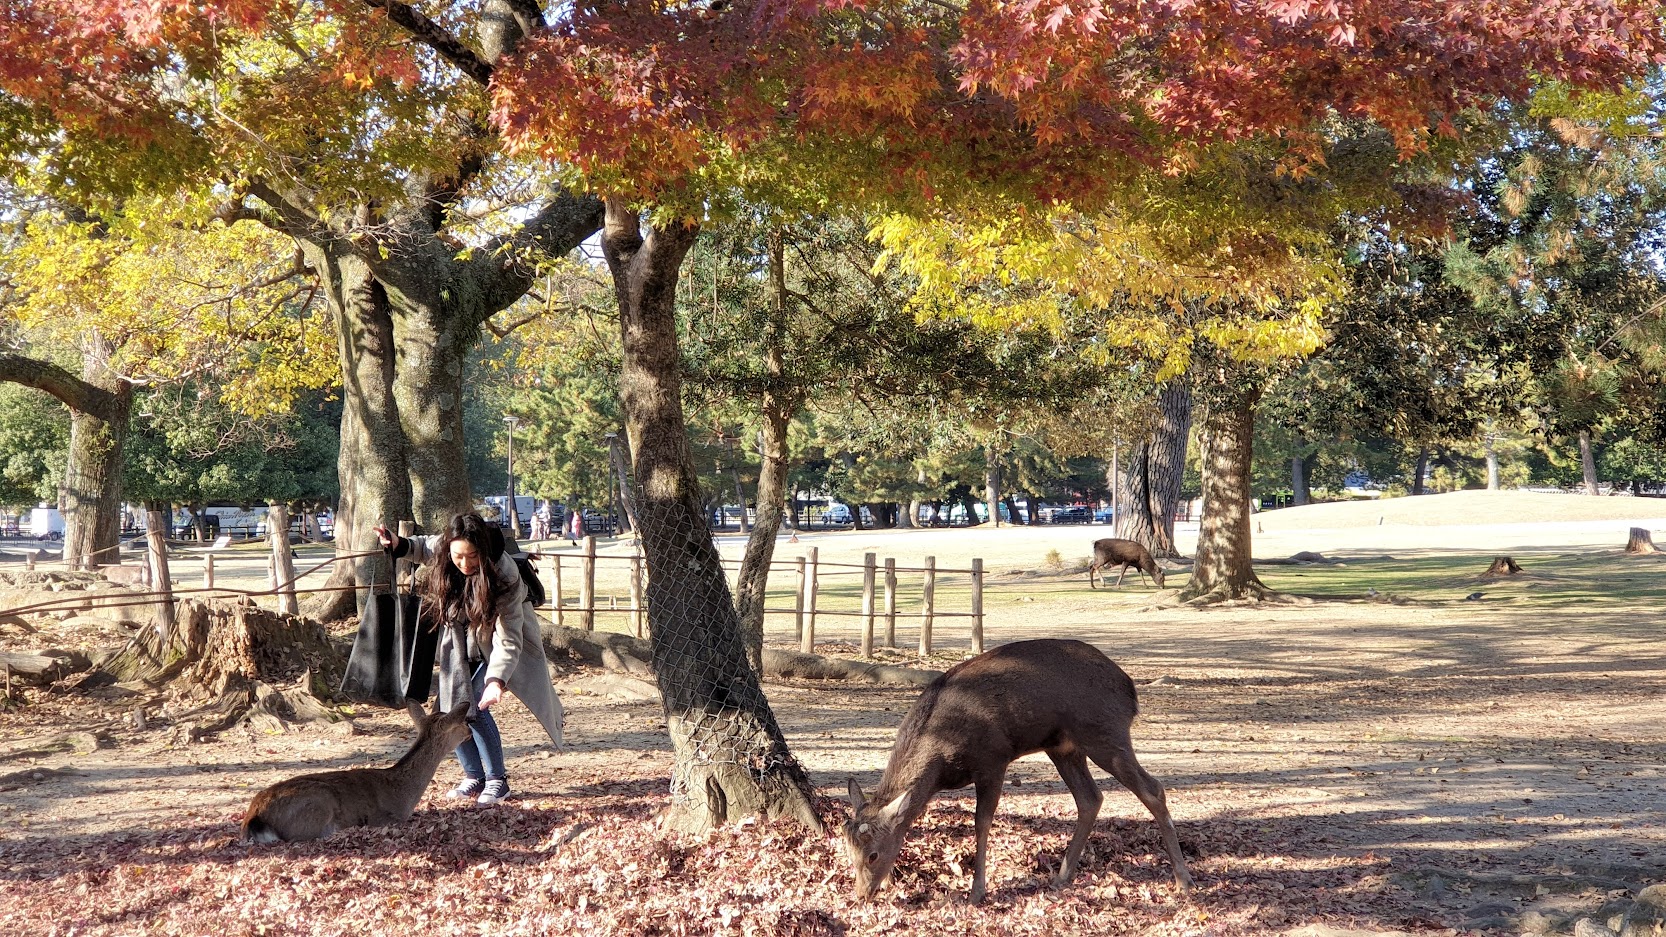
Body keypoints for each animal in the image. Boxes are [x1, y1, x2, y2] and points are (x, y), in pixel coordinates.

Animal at [238, 696, 469, 843]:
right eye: (461, 724)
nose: (469, 730)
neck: (403, 794)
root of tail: (254, 817)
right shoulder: (384, 819)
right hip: (318, 804)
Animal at [846, 633, 1186, 900]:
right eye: (850, 852)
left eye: (873, 854)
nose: (862, 895)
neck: (942, 763)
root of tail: (1130, 689)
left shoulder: (992, 760)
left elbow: (982, 822)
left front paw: (977, 892)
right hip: (1063, 747)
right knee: (1090, 798)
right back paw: (1061, 877)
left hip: (1105, 733)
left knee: (1153, 789)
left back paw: (1184, 879)